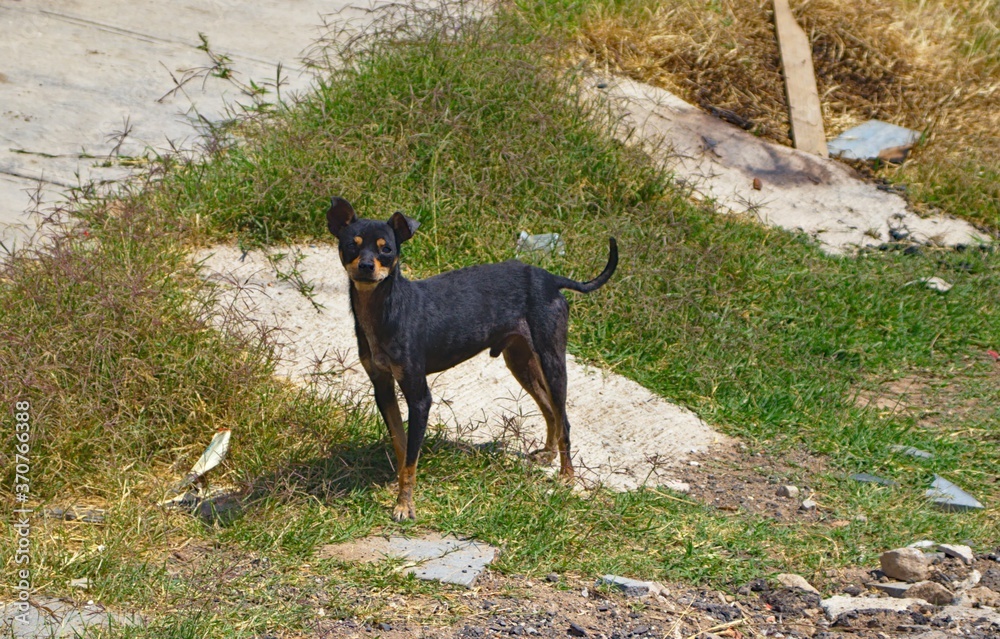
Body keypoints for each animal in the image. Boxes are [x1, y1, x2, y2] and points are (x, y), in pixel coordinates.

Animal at [328, 198, 616, 524]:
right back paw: (548, 454)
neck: (386, 309)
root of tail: (550, 279)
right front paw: (400, 490)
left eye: (386, 249)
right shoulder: (383, 388)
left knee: (563, 417)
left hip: (552, 359)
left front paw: (405, 505)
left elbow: (412, 456)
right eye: (351, 245)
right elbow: (403, 447)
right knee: (550, 411)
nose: (366, 266)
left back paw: (567, 476)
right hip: (521, 362)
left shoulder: (420, 397)